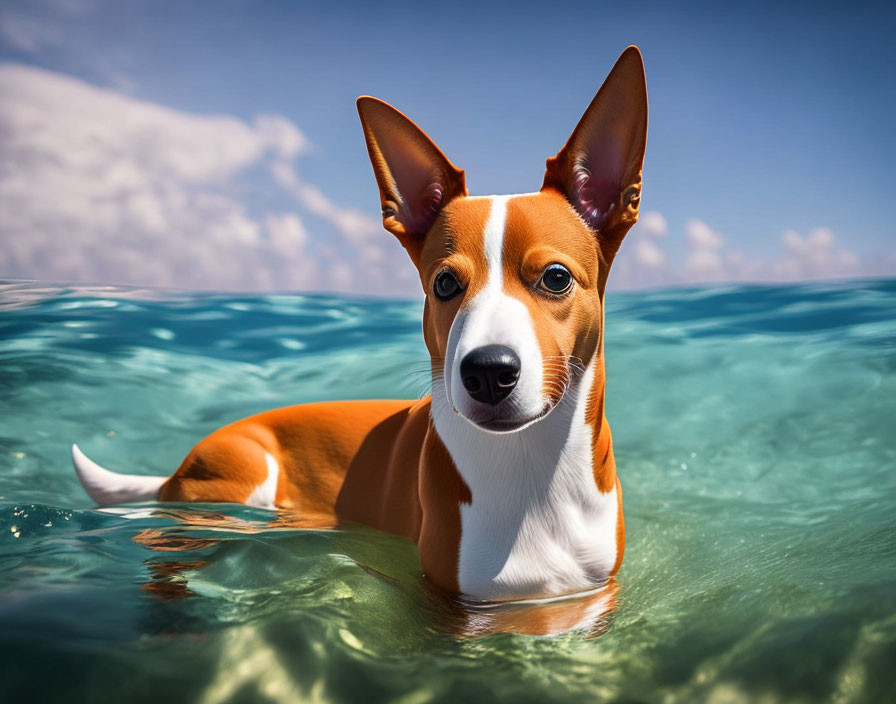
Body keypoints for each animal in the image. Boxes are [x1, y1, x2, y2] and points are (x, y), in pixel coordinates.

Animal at [70, 49, 644, 608]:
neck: (530, 475)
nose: (487, 372)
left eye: (556, 278)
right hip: (240, 476)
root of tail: (177, 468)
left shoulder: (593, 595)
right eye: (444, 284)